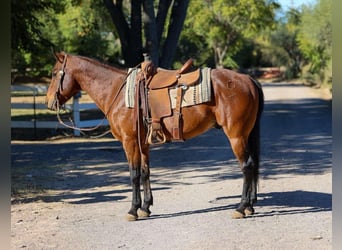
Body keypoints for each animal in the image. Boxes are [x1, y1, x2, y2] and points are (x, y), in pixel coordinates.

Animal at [45, 51, 264, 220]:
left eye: (55, 73)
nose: (48, 102)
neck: (118, 91)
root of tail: (248, 80)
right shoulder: (143, 143)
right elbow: (145, 172)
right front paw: (145, 208)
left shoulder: (129, 142)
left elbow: (133, 174)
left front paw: (133, 210)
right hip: (246, 135)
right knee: (252, 165)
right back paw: (250, 206)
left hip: (236, 136)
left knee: (247, 166)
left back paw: (241, 208)